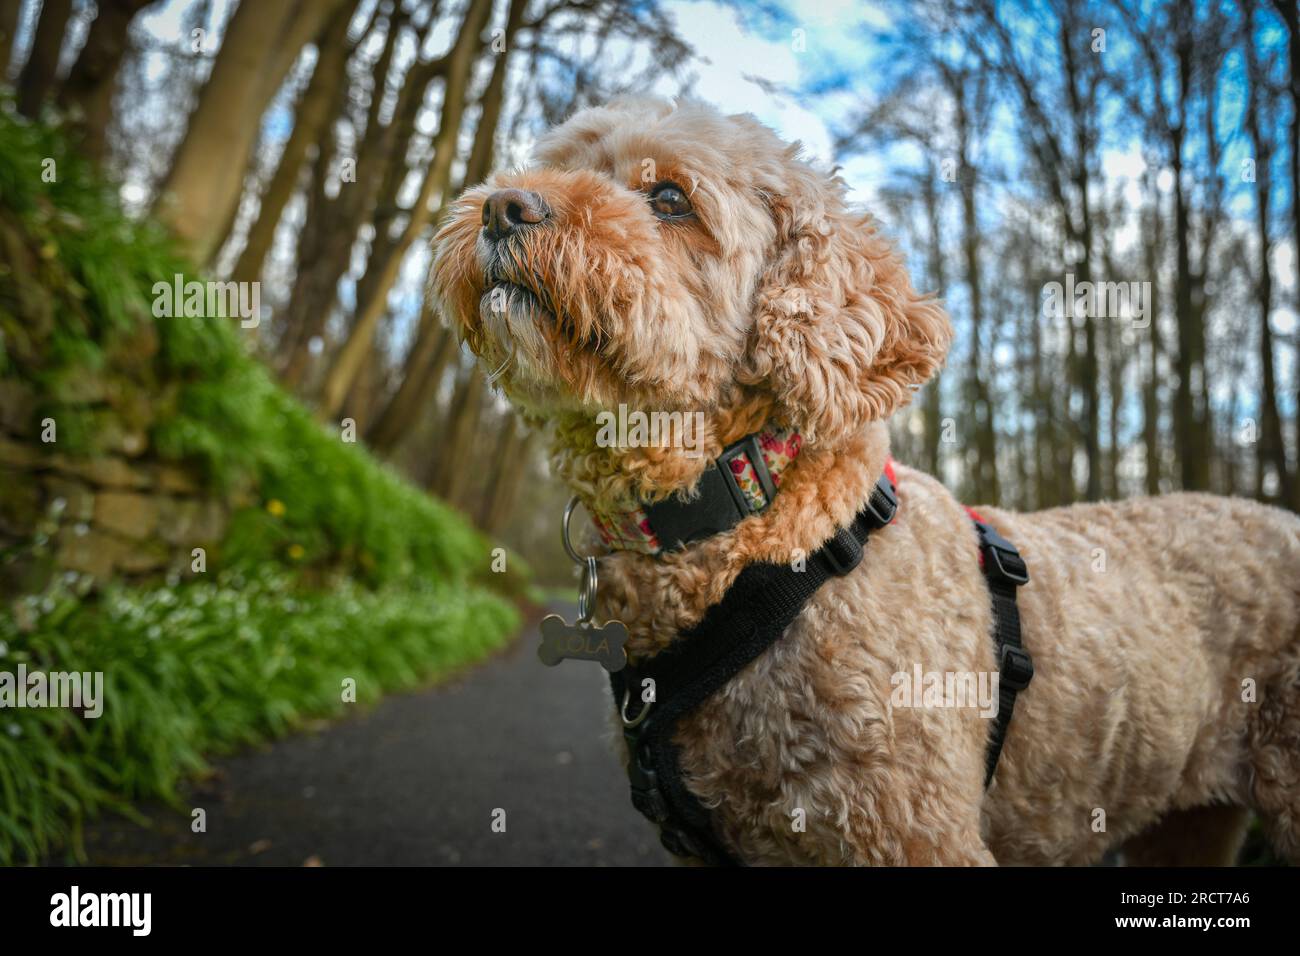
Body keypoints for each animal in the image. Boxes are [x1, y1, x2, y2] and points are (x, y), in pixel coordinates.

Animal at [431, 97, 1300, 868]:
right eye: (561, 164)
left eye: (670, 198)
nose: (504, 206)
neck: (757, 514)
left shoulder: (913, 832)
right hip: (1187, 822)